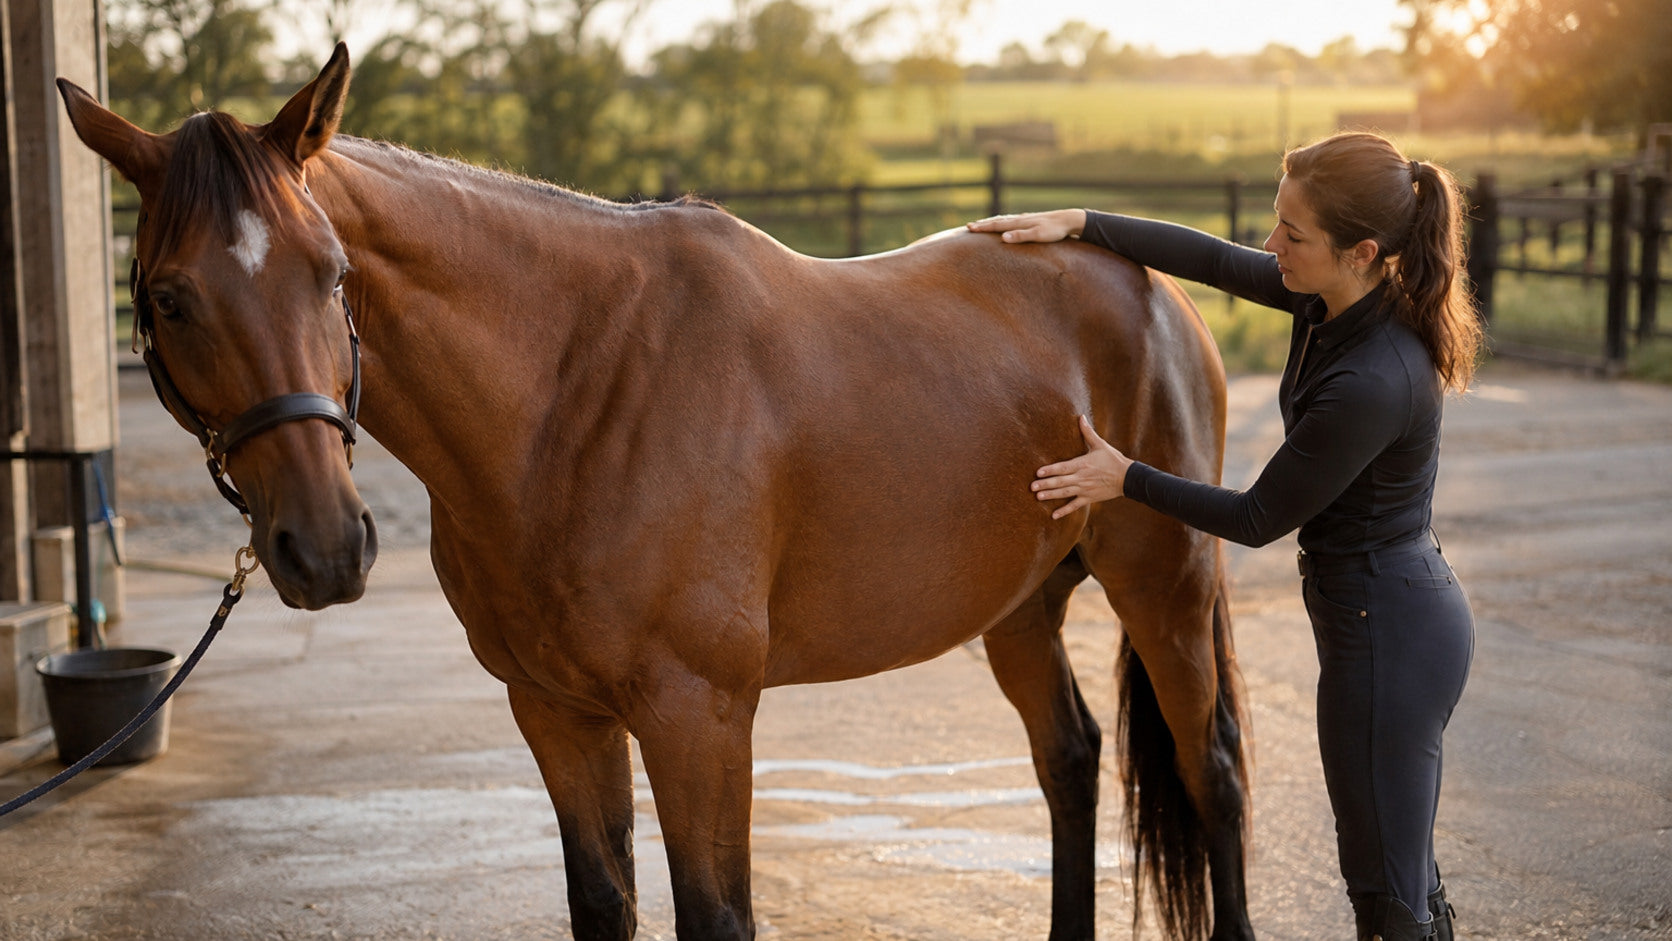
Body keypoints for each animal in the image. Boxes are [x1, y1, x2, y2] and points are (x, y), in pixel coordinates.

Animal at [58, 44, 1253, 941]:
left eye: (332, 271)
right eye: (170, 297)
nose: (327, 546)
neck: (576, 388)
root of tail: (1149, 288)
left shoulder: (699, 716)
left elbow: (716, 915)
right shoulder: (556, 711)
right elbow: (604, 904)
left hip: (1163, 587)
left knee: (1214, 775)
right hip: (1020, 606)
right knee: (1070, 761)